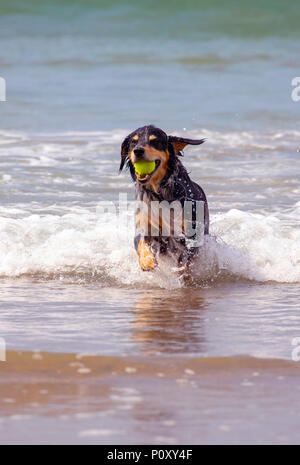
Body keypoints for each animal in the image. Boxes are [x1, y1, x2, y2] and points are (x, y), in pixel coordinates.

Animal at [119, 125, 209, 272]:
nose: (138, 151)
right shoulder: (144, 223)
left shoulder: (192, 234)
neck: (159, 193)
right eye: (133, 142)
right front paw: (147, 261)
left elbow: (185, 257)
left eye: (155, 141)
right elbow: (140, 241)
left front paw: (181, 270)